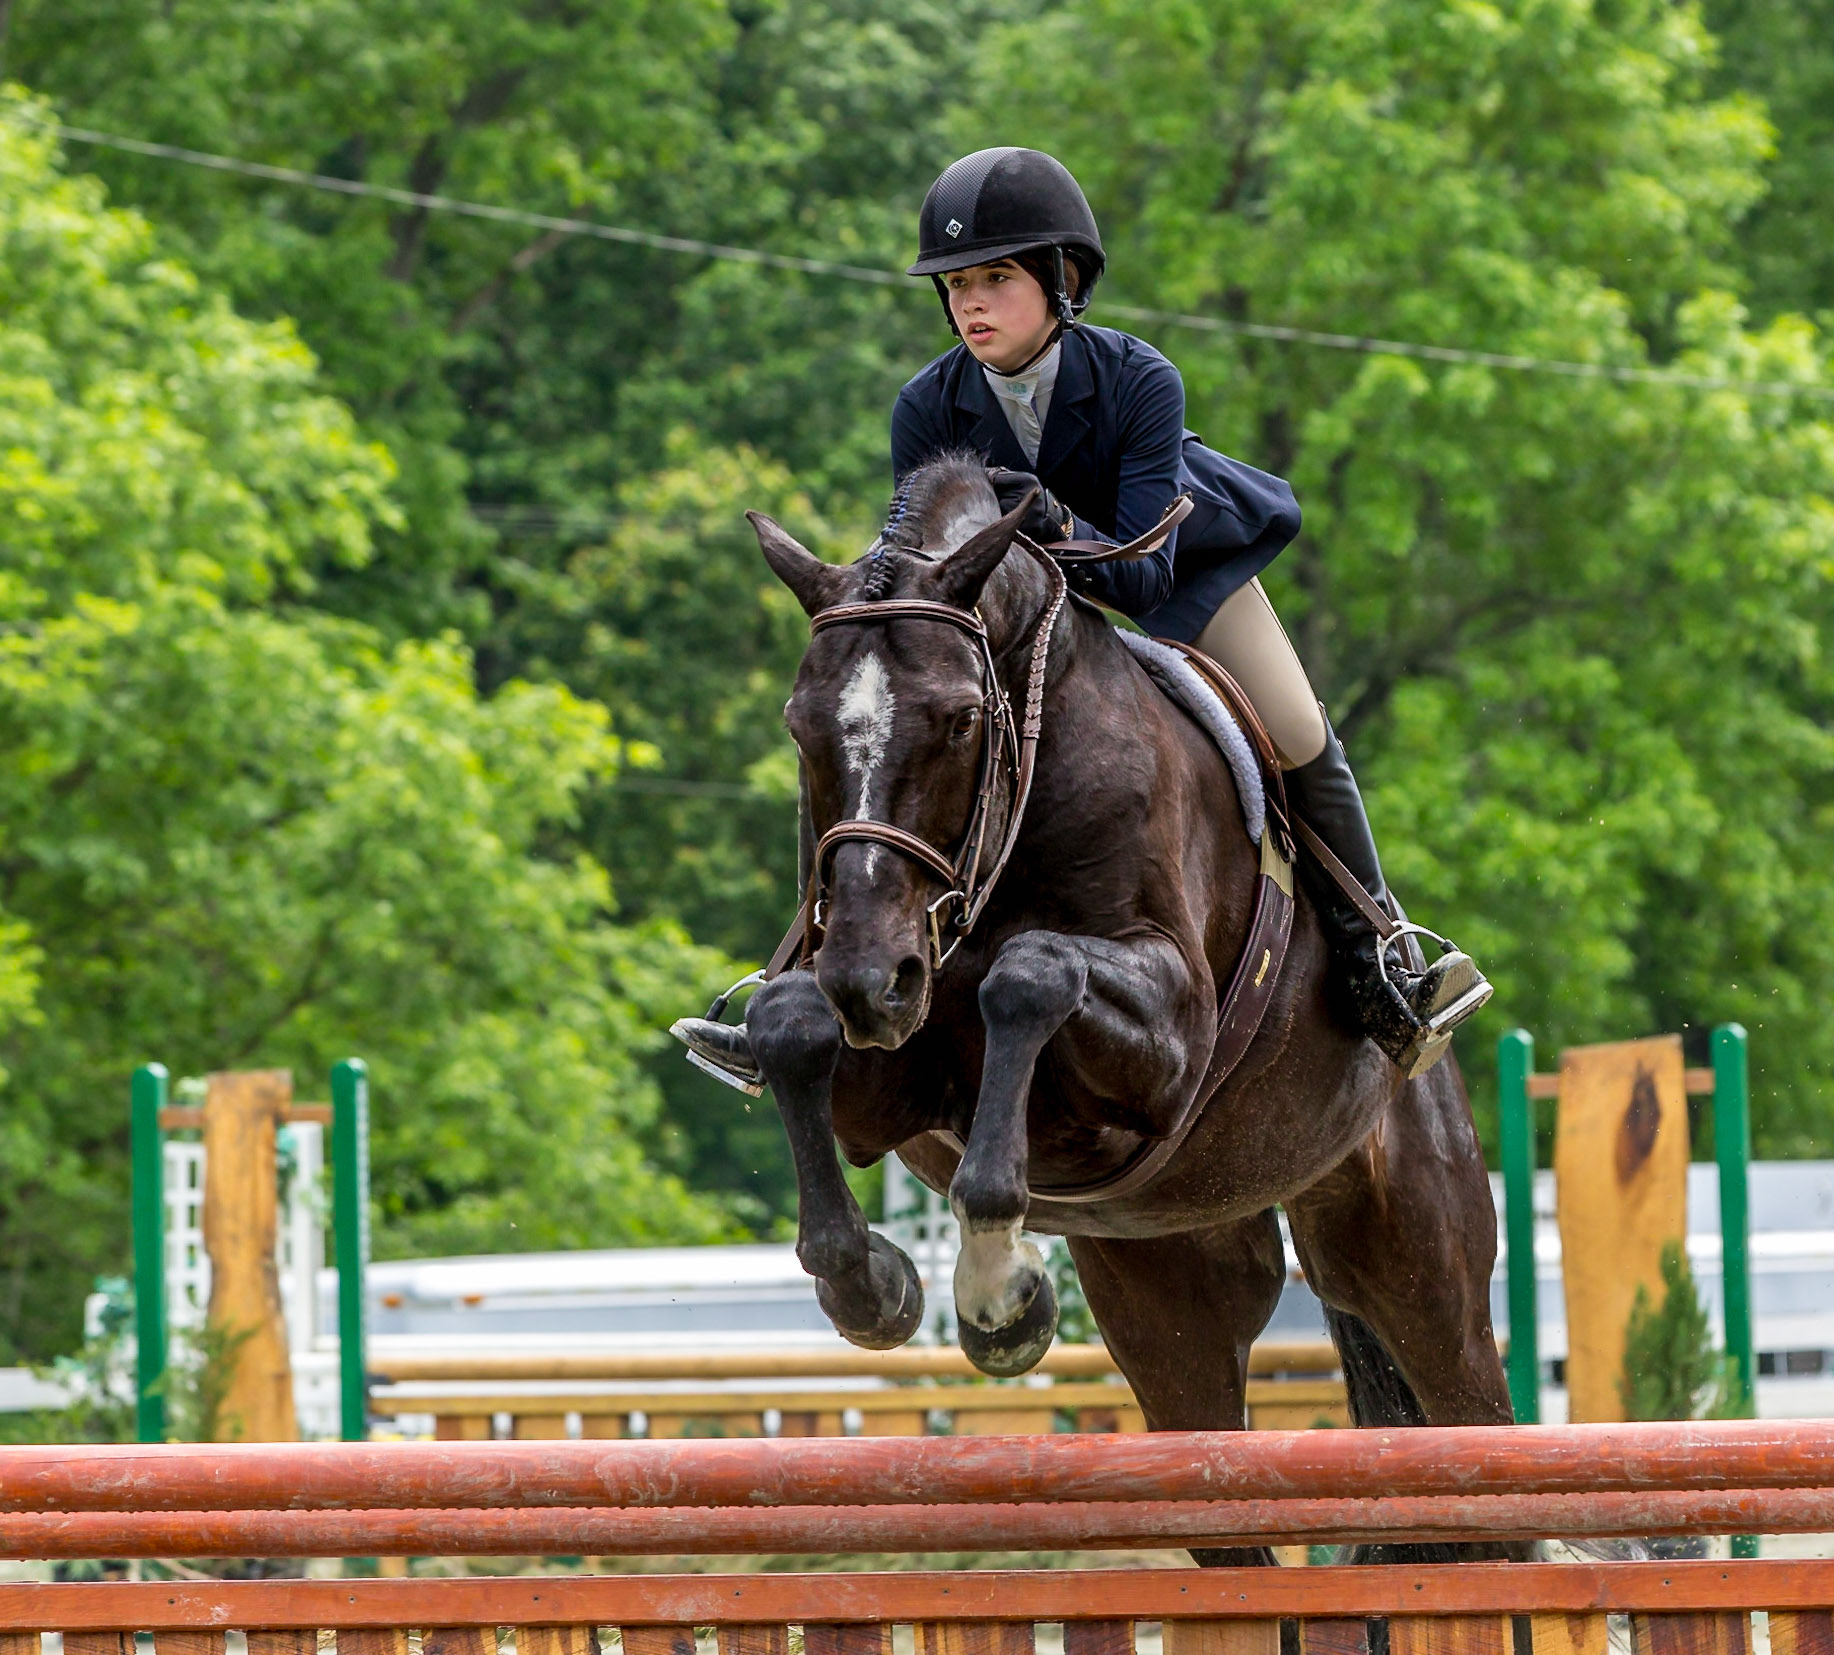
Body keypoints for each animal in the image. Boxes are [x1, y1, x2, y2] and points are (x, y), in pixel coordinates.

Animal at [742, 455, 1512, 1546]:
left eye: (960, 719)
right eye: (799, 725)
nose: (870, 978)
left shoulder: (1173, 1039)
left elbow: (1030, 975)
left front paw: (998, 1293)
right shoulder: (890, 1074)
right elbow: (789, 1024)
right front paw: (876, 1286)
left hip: (1424, 1271)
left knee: (1471, 1411)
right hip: (1171, 1304)